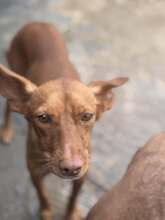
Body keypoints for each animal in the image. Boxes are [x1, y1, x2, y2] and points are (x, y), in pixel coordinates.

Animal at [0, 21, 127, 220]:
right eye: (43, 118)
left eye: (87, 116)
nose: (71, 168)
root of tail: (36, 23)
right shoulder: (35, 173)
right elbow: (43, 196)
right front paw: (46, 212)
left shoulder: (82, 176)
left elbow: (73, 198)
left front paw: (72, 212)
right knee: (7, 108)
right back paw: (6, 130)